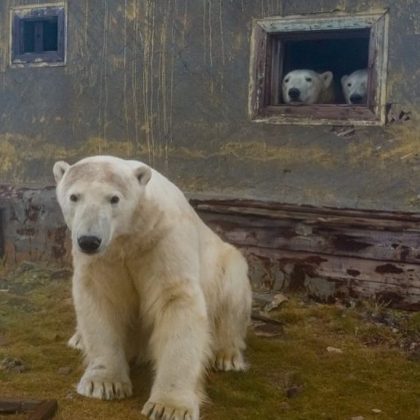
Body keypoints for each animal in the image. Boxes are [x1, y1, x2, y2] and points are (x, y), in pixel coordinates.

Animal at [51, 156, 251, 420]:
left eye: (114, 198)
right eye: (74, 196)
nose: (89, 240)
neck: (130, 236)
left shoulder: (162, 240)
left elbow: (175, 301)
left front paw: (169, 406)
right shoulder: (104, 259)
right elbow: (100, 299)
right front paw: (103, 383)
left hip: (225, 264)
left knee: (232, 296)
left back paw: (227, 356)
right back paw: (78, 339)